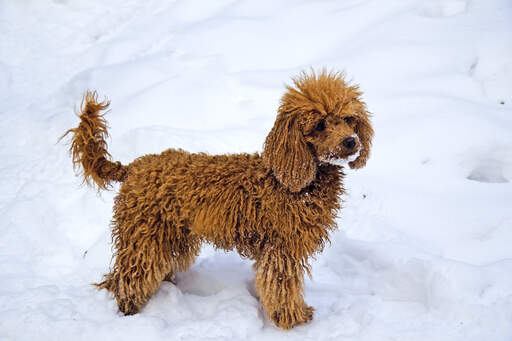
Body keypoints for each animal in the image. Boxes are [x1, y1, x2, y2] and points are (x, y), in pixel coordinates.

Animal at [62, 70, 372, 328]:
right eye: (319, 125)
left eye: (349, 119)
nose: (351, 142)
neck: (294, 181)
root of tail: (133, 167)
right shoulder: (281, 250)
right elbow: (281, 287)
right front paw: (293, 319)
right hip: (145, 237)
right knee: (128, 279)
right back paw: (129, 311)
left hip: (167, 236)